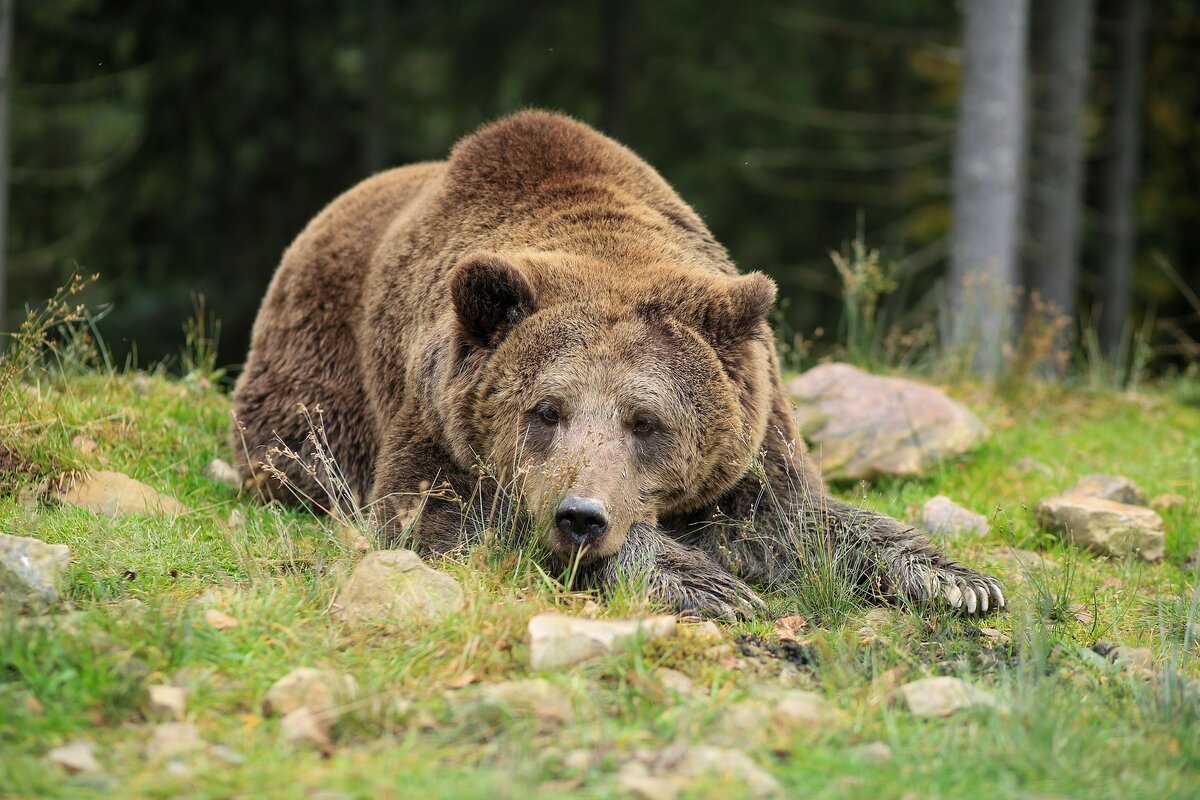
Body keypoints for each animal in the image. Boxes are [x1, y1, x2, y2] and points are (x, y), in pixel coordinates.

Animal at [231, 109, 1003, 618]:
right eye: (546, 410)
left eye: (645, 420)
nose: (582, 517)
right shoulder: (436, 422)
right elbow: (448, 518)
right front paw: (711, 588)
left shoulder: (753, 435)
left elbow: (797, 518)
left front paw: (958, 580)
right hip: (312, 375)